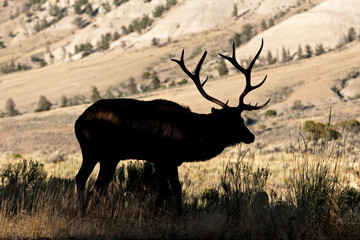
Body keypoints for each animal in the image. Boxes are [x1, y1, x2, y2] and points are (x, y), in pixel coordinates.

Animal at [74, 39, 270, 214]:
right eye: (232, 122)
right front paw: (167, 215)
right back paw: (105, 211)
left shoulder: (167, 160)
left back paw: (87, 210)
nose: (250, 136)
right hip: (102, 153)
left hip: (101, 154)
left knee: (87, 181)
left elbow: (174, 189)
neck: (192, 137)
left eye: (242, 119)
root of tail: (79, 121)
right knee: (94, 183)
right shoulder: (164, 158)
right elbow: (168, 190)